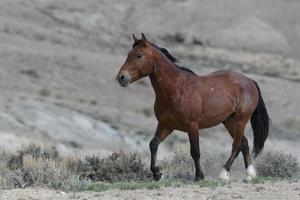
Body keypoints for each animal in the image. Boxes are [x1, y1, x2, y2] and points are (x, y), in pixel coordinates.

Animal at [116, 33, 270, 181]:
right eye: (128, 54)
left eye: (139, 55)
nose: (121, 77)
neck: (178, 90)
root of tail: (249, 81)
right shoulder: (166, 125)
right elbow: (153, 144)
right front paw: (157, 174)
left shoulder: (192, 126)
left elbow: (195, 151)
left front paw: (199, 176)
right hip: (229, 122)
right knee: (244, 143)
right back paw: (250, 174)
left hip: (240, 121)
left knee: (236, 145)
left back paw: (224, 174)